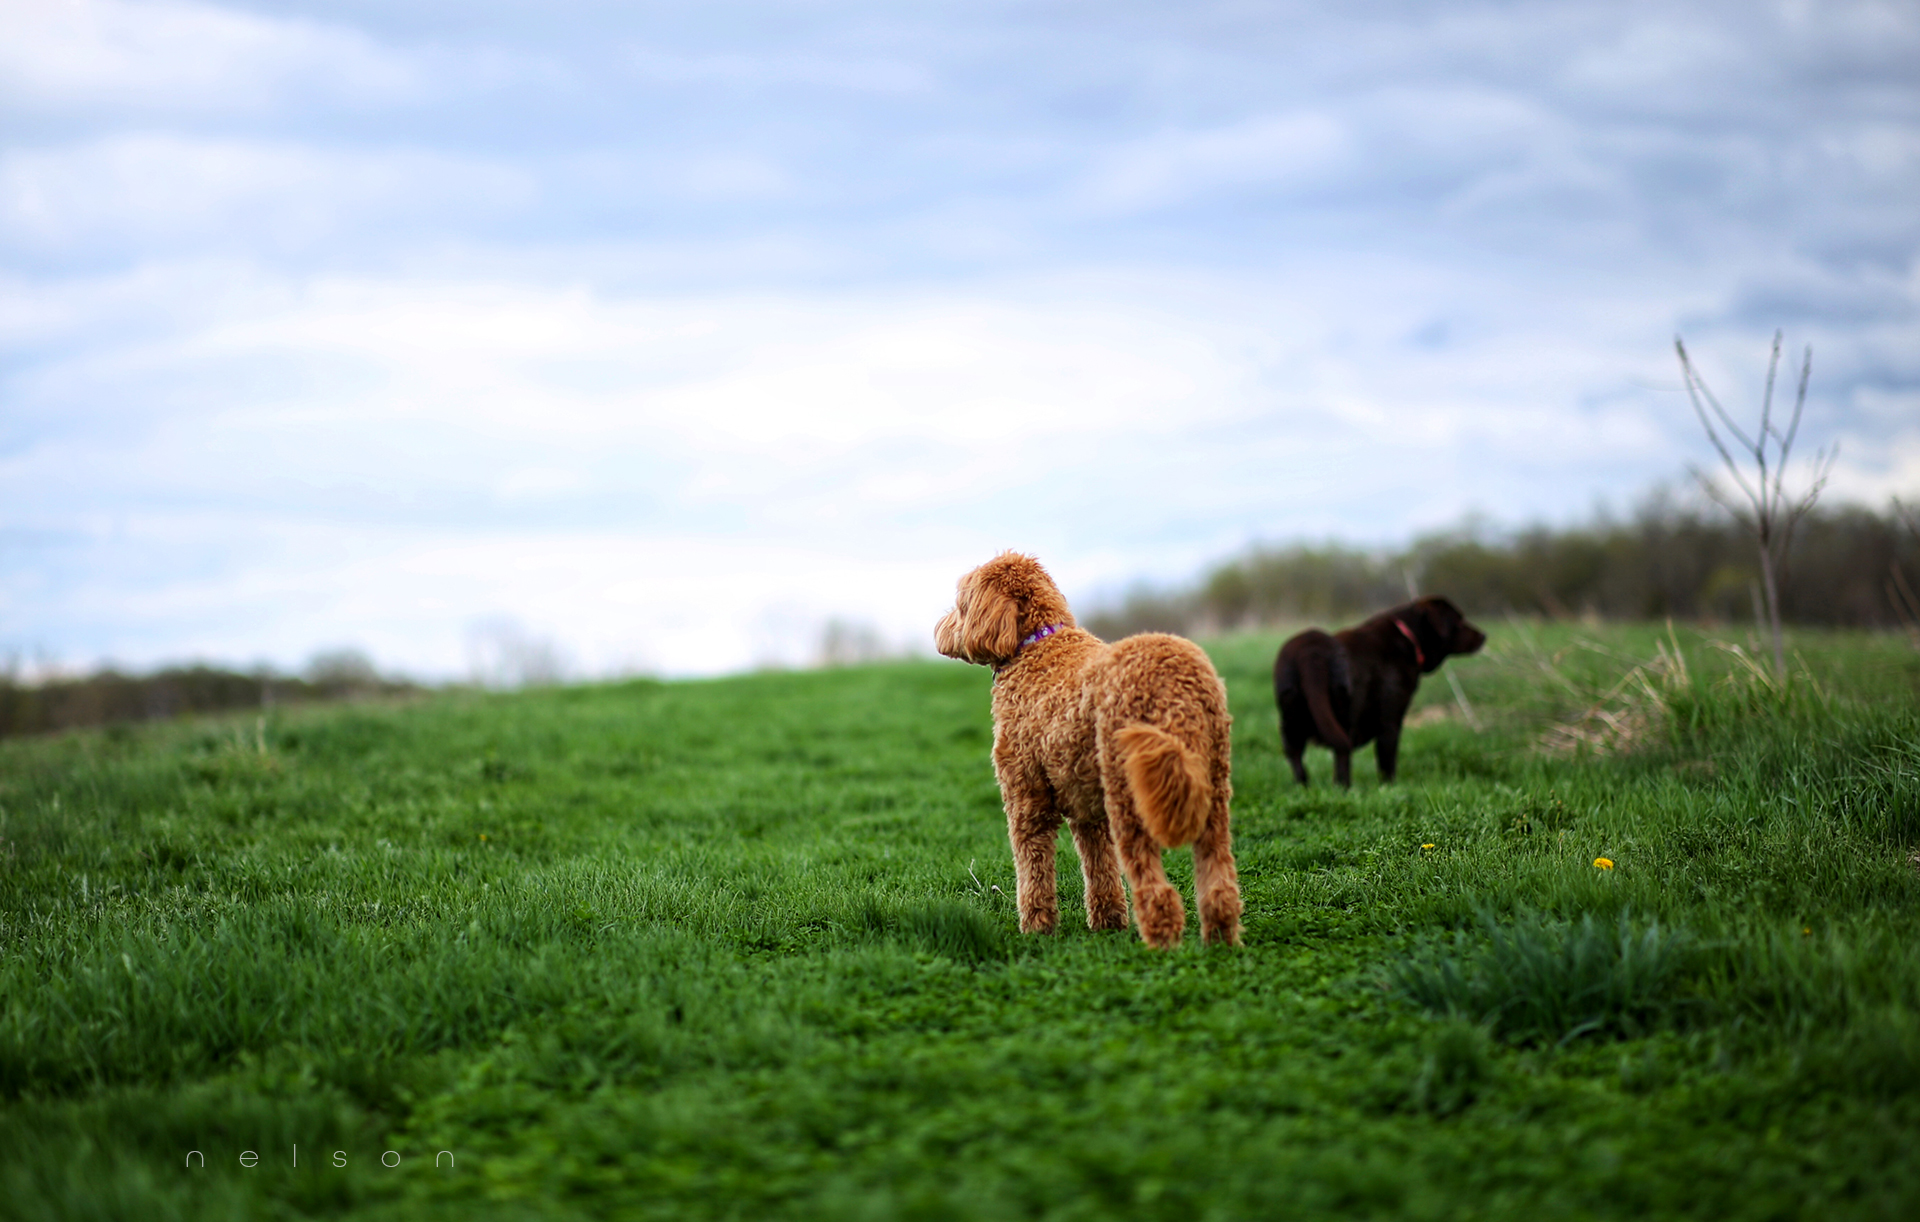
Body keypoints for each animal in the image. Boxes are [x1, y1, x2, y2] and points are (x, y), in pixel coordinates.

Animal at [933, 549, 1244, 945]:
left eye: (961, 604)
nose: (939, 628)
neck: (1035, 644)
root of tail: (1175, 688)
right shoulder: (1085, 806)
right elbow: (1100, 867)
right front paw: (1108, 921)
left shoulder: (1025, 798)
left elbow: (1033, 867)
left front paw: (1037, 927)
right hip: (1211, 787)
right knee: (1218, 876)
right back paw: (1220, 938)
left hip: (1129, 793)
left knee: (1154, 886)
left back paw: (1161, 944)